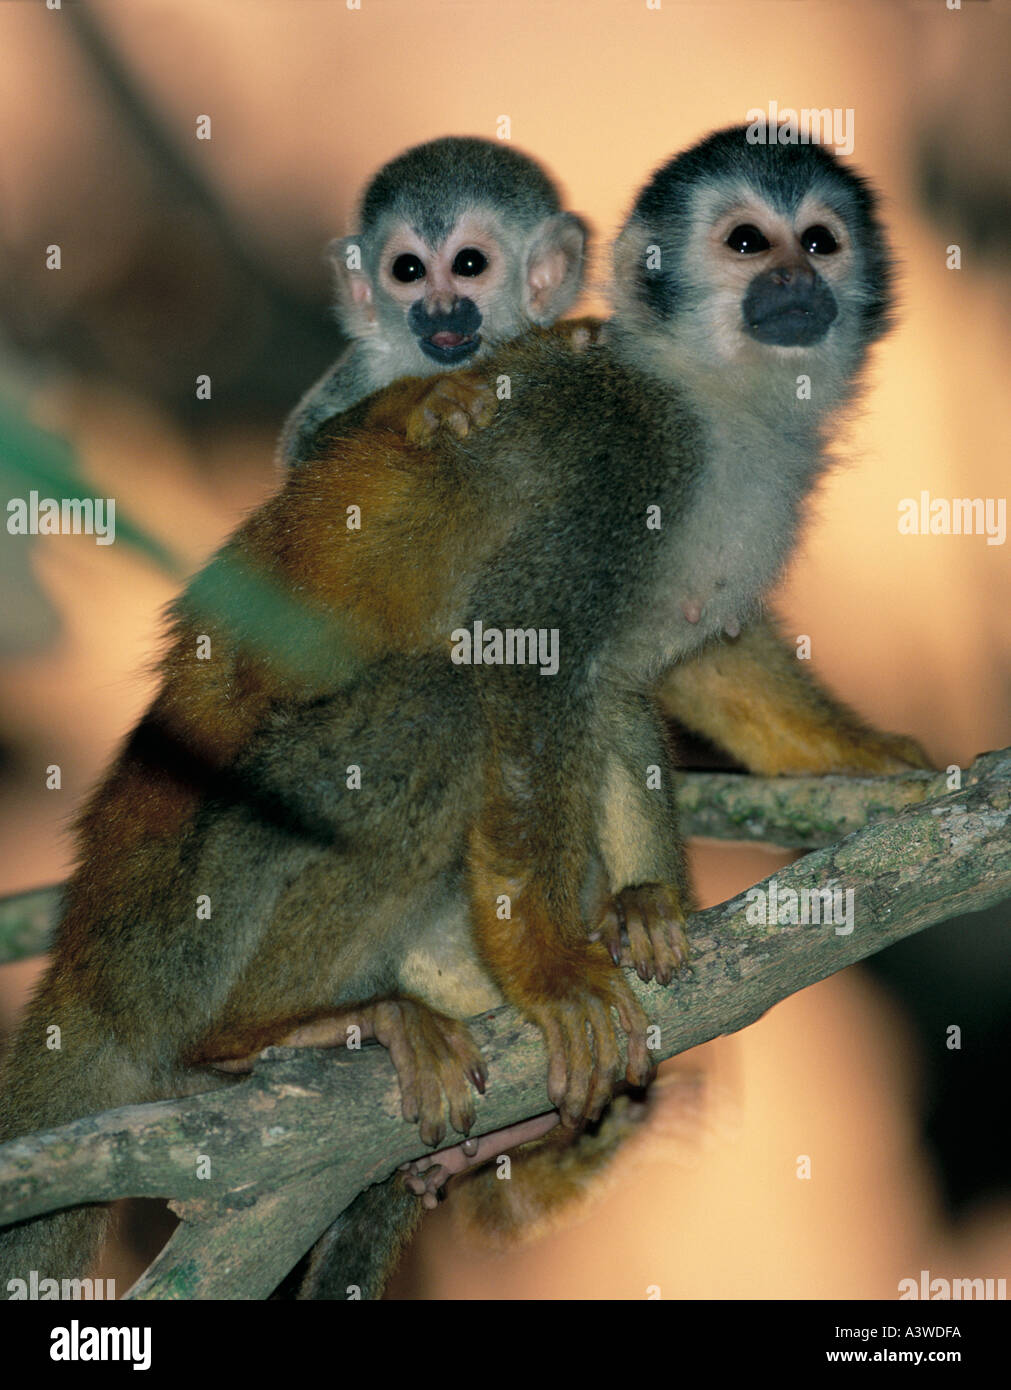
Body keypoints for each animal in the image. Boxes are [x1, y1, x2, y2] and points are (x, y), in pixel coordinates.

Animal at [278, 134, 592, 467]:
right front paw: (416, 400)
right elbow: (303, 455)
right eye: (407, 269)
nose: (439, 308)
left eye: (469, 263)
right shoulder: (372, 361)